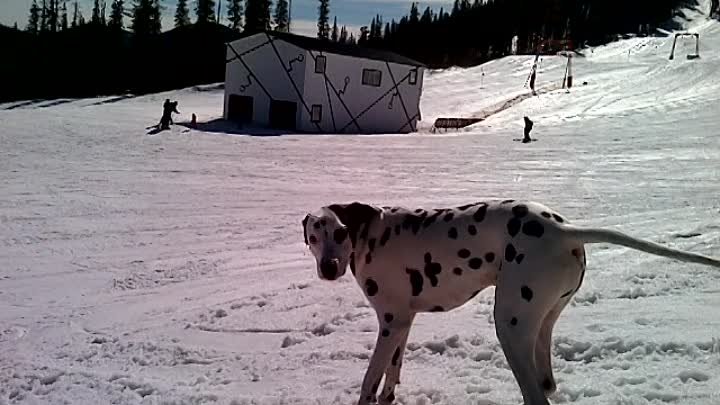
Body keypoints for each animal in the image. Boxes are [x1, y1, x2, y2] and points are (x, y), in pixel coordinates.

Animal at [300, 200, 720, 404]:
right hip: (538, 327)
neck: (371, 235)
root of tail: (564, 230)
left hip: (509, 327)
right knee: (545, 385)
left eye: (341, 232)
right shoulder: (401, 322)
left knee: (536, 397)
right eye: (314, 236)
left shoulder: (389, 324)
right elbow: (391, 376)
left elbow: (369, 382)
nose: (329, 267)